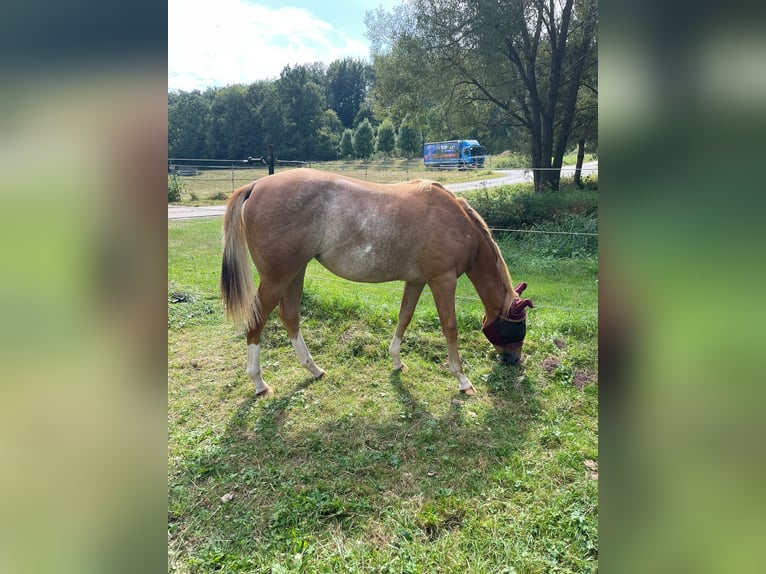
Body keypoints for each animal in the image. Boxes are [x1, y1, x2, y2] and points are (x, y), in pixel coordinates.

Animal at [222, 169, 536, 398]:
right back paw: (259, 383)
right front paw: (461, 379)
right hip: (276, 278)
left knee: (289, 317)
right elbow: (450, 327)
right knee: (257, 321)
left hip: (295, 272)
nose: (514, 360)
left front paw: (396, 360)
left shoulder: (416, 281)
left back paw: (314, 369)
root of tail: (256, 185)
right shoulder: (442, 280)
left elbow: (405, 317)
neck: (456, 221)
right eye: (518, 327)